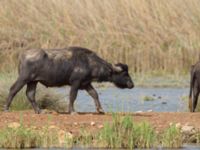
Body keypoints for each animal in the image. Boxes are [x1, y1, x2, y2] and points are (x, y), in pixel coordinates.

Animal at [3, 46, 134, 113]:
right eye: (125, 74)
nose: (132, 84)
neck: (89, 63)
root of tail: (22, 55)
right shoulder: (75, 83)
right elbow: (72, 96)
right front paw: (72, 111)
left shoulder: (86, 84)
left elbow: (94, 94)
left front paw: (100, 109)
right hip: (23, 78)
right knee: (13, 89)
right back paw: (6, 108)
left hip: (33, 81)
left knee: (30, 94)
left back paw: (39, 111)